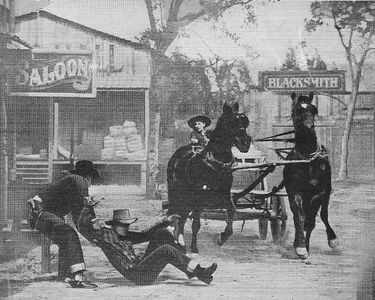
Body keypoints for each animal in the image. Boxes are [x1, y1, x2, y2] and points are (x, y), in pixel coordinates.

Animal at [168, 103, 253, 253]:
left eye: (245, 121)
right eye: (231, 122)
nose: (245, 143)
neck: (215, 163)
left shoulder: (224, 195)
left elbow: (232, 211)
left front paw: (221, 238)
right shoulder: (197, 199)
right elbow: (196, 224)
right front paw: (194, 248)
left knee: (182, 216)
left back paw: (181, 242)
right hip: (178, 196)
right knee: (177, 215)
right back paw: (178, 241)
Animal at [284, 92, 340, 258]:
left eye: (313, 109)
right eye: (296, 110)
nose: (309, 128)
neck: (308, 161)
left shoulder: (319, 193)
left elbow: (313, 219)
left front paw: (307, 246)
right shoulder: (295, 192)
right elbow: (300, 217)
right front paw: (301, 246)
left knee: (320, 216)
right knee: (299, 216)